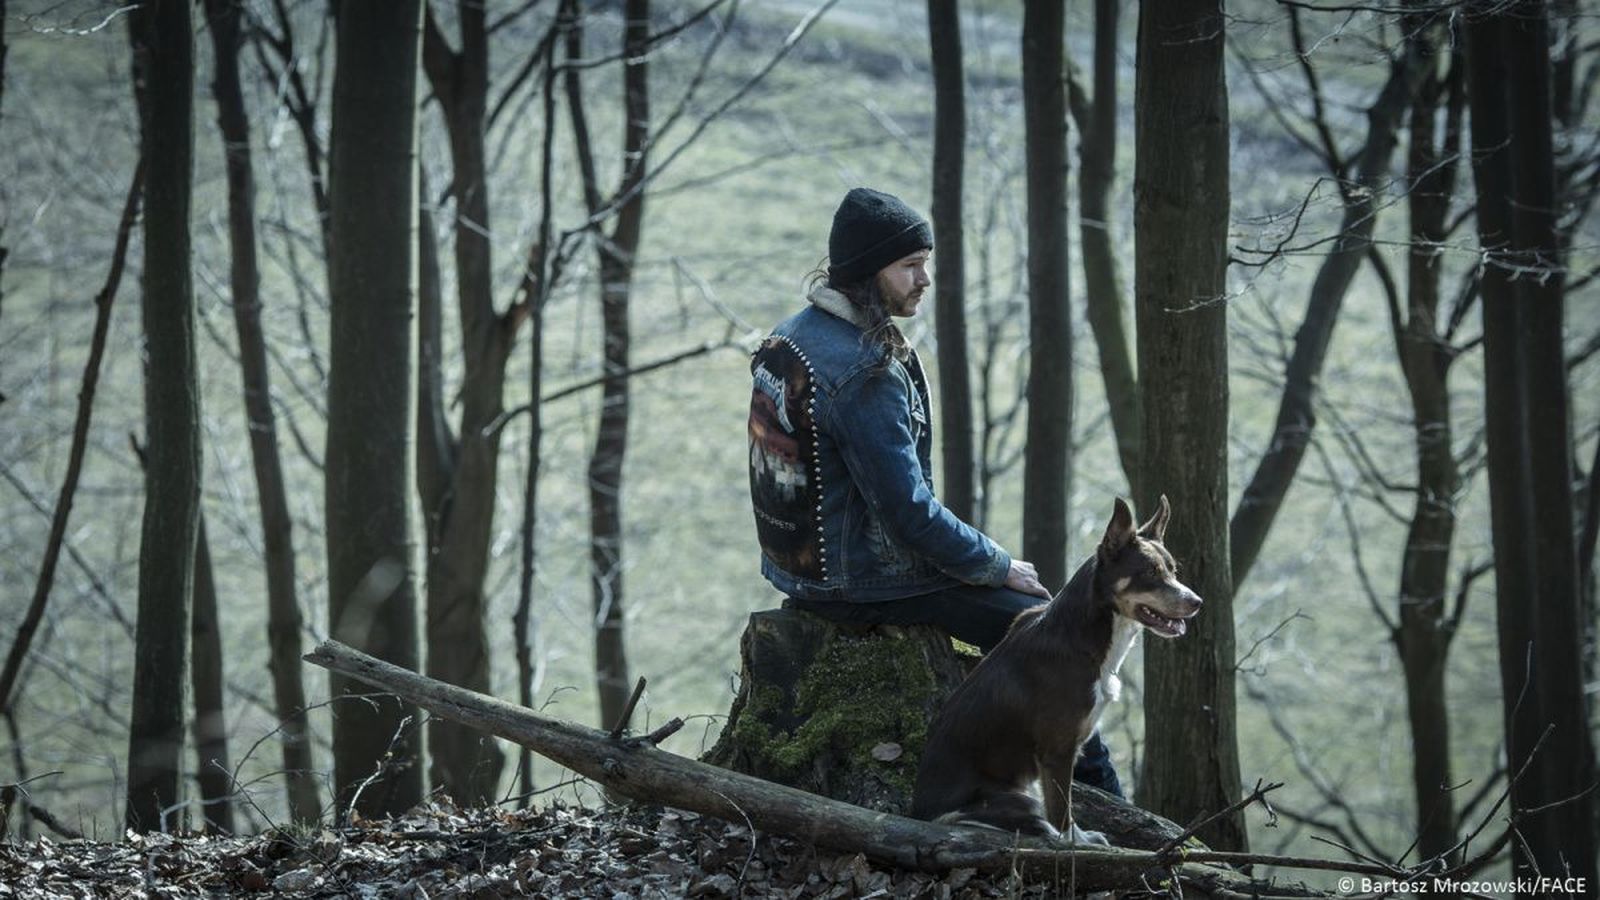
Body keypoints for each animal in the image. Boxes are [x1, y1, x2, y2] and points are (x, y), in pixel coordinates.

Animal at [915, 496, 1203, 839]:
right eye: (1149, 572)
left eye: (1173, 570)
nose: (1197, 602)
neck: (1083, 639)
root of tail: (922, 812)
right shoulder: (1058, 750)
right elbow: (1062, 809)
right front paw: (1075, 843)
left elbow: (1064, 805)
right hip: (1017, 799)